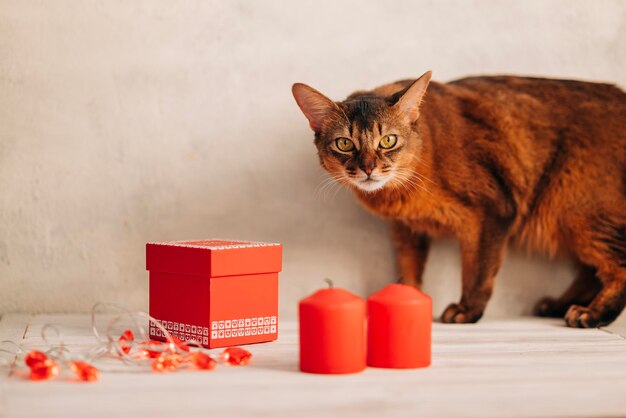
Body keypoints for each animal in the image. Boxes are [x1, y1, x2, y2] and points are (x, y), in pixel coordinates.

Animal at [292, 71, 624, 326]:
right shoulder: (406, 229)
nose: (368, 168)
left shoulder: (493, 211)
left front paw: (467, 310)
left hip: (578, 207)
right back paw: (558, 305)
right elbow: (408, 269)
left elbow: (478, 270)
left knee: (616, 265)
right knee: (591, 271)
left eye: (388, 140)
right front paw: (407, 299)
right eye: (344, 144)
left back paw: (591, 314)